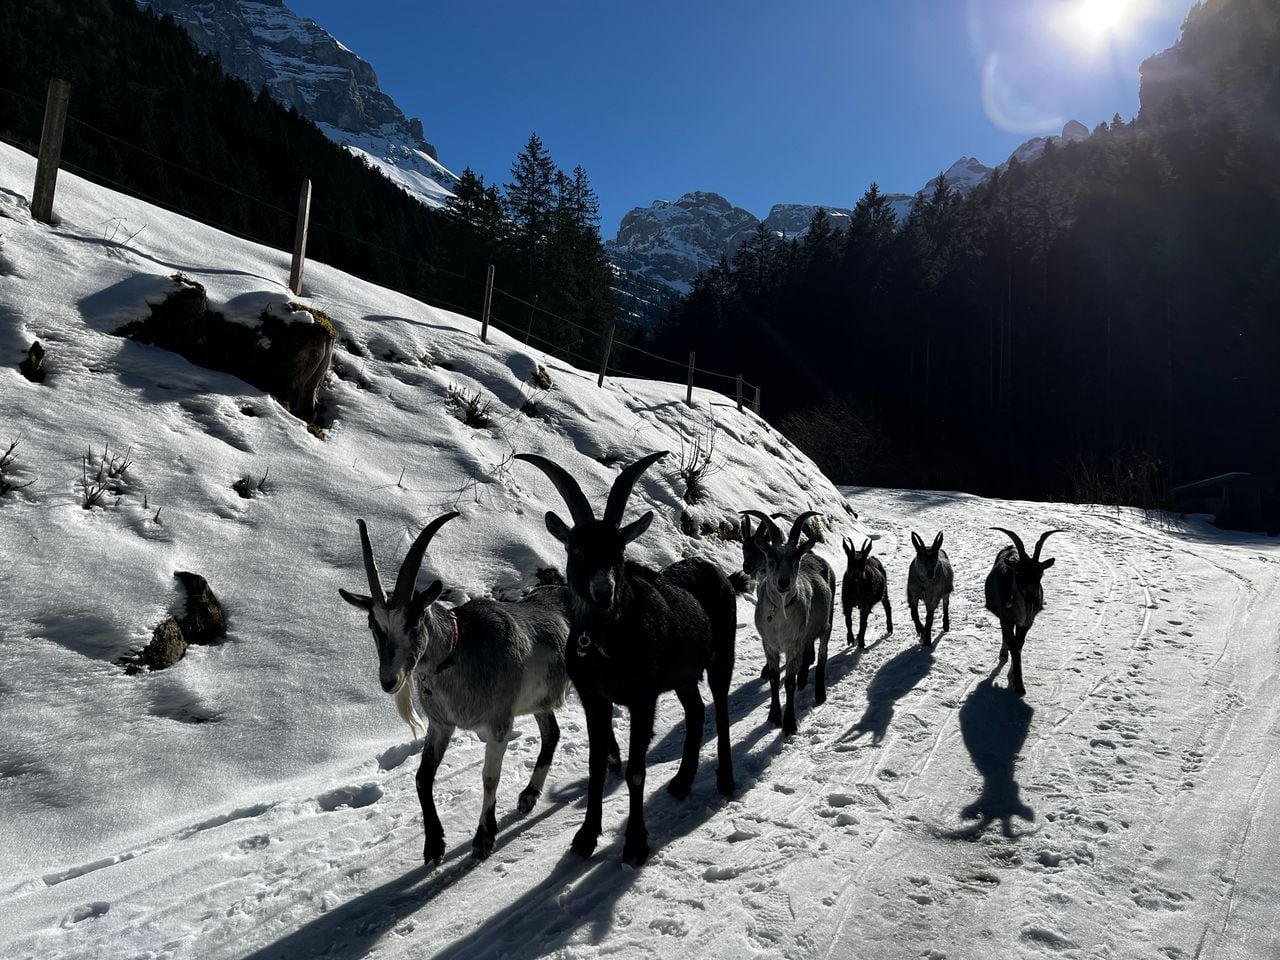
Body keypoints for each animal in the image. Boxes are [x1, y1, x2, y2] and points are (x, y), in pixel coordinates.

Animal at [339, 512, 586, 863]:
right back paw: (528, 796)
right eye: (373, 625)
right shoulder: (442, 724)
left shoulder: (499, 722)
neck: (458, 651)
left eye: (414, 620)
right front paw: (434, 844)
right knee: (551, 733)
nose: (389, 680)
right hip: (540, 701)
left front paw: (483, 838)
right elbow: (422, 777)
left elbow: (489, 777)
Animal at [515, 450, 736, 866]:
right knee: (696, 711)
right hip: (683, 675)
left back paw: (726, 780)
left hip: (721, 657)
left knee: (721, 711)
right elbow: (597, 764)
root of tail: (712, 568)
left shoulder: (642, 698)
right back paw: (681, 782)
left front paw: (635, 843)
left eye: (618, 550)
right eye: (576, 549)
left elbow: (635, 771)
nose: (603, 591)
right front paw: (585, 838)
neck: (606, 643)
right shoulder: (595, 699)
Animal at [742, 511, 836, 734]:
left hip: (826, 625)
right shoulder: (769, 644)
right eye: (771, 556)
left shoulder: (794, 644)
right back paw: (803, 679)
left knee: (822, 657)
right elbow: (775, 679)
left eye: (795, 559)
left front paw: (790, 724)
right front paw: (774, 716)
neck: (780, 621)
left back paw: (819, 693)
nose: (783, 583)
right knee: (809, 654)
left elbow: (789, 684)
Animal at [984, 527, 1062, 696]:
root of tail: (1009, 548)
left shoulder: (1026, 622)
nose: (1032, 595)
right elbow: (1013, 644)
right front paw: (1019, 685)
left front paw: (1015, 674)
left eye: (1040, 573)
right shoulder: (1006, 619)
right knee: (1006, 637)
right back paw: (1003, 653)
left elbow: (1019, 645)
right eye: (1019, 572)